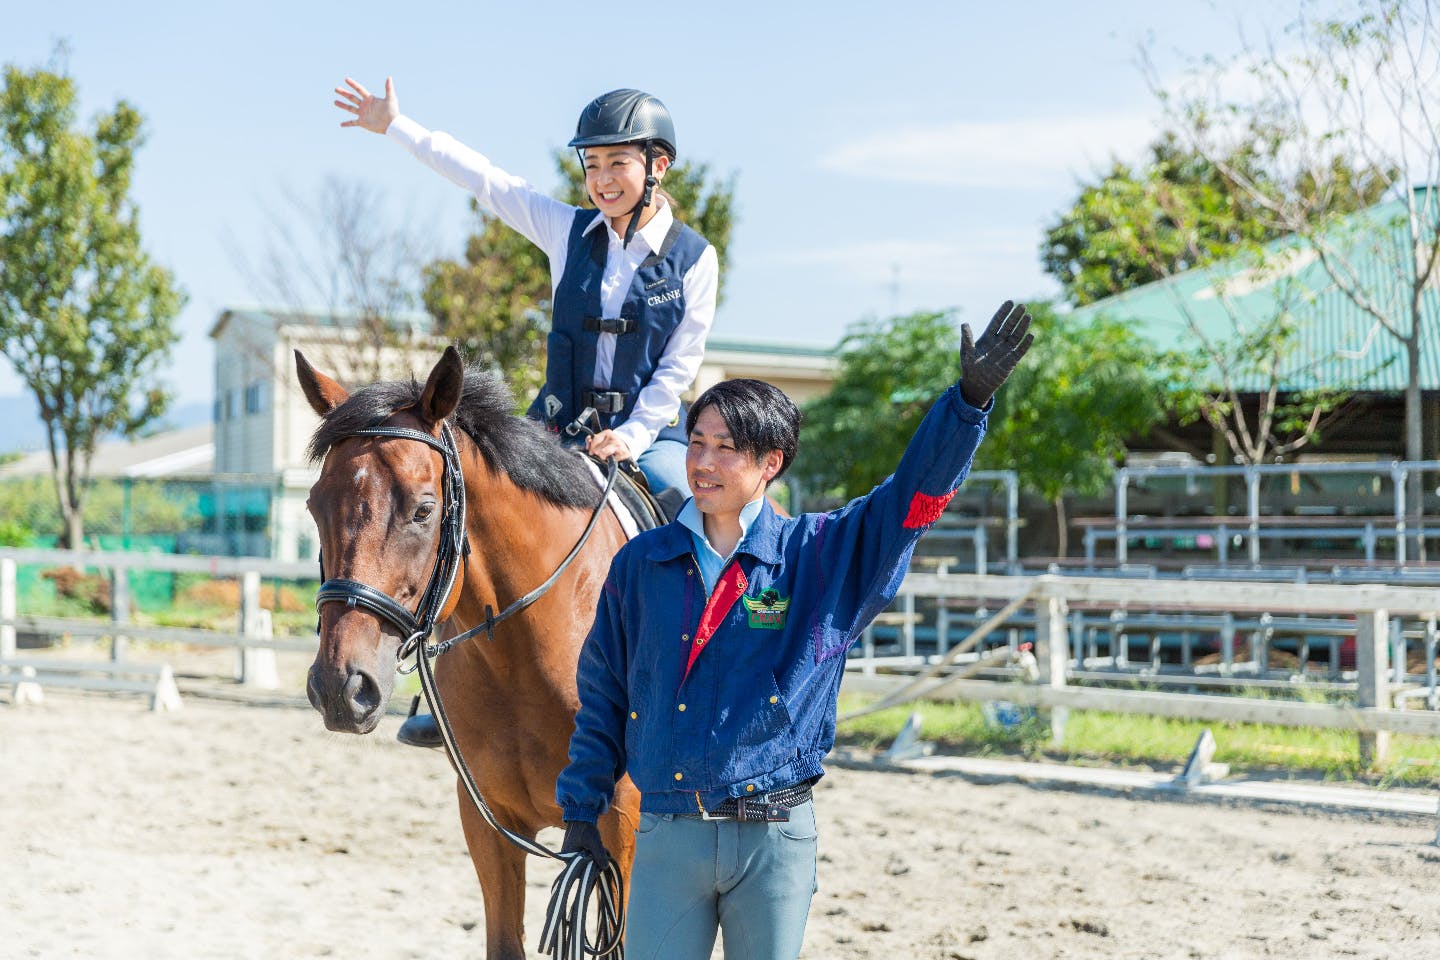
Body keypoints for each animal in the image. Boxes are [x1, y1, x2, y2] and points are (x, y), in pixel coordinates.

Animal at [299, 346, 642, 960]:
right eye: (316, 506)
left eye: (423, 510)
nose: (341, 688)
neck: (524, 656)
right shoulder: (487, 821)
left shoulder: (618, 830)